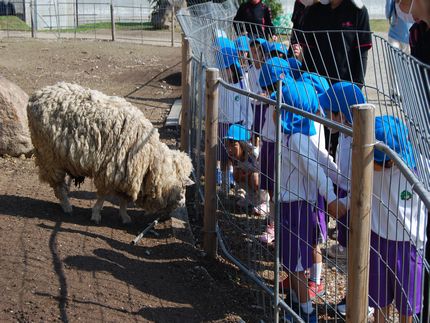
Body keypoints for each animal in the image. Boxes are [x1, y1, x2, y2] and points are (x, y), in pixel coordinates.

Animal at [27, 83, 193, 225]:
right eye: (183, 189)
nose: (182, 204)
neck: (150, 158)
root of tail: (37, 95)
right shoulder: (109, 171)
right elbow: (102, 196)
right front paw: (96, 214)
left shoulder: (127, 175)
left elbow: (124, 200)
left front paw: (125, 217)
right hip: (49, 156)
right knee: (58, 185)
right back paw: (67, 206)